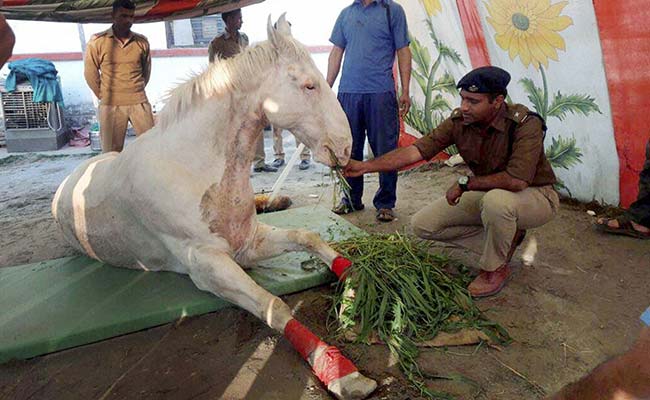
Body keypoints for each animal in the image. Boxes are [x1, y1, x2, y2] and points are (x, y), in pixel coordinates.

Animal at [53, 15, 378, 400]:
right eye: (309, 85)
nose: (345, 149)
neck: (193, 167)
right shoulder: (208, 265)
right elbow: (274, 305)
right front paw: (341, 371)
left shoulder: (248, 243)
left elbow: (308, 237)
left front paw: (357, 289)